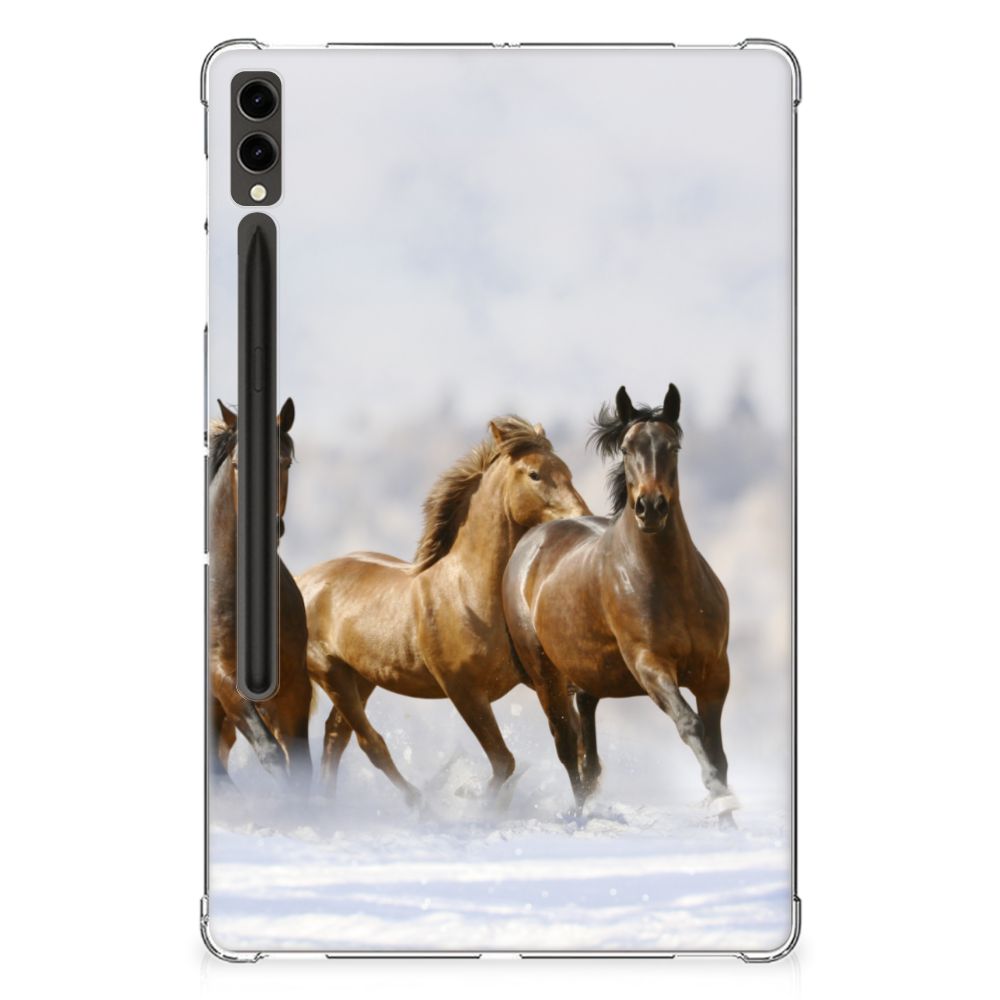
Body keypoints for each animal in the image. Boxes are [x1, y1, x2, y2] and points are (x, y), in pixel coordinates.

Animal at [208, 398, 312, 790]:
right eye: (238, 464)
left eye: (285, 462)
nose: (270, 528)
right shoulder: (220, 675)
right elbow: (271, 753)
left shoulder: (295, 684)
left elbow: (301, 765)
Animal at [298, 416, 589, 805]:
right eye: (534, 474)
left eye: (567, 471)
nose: (582, 518)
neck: (469, 593)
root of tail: (301, 581)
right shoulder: (463, 691)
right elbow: (504, 762)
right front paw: (477, 802)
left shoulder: (543, 680)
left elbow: (569, 743)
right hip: (331, 673)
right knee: (369, 742)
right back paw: (419, 803)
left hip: (361, 677)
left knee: (335, 737)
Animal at [502, 385, 738, 823]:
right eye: (627, 448)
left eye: (673, 446)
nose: (651, 507)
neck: (670, 584)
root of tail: (531, 542)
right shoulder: (649, 665)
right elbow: (690, 725)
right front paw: (719, 798)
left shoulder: (715, 672)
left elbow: (717, 749)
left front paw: (728, 817)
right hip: (546, 677)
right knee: (567, 747)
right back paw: (581, 818)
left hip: (588, 677)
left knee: (588, 752)